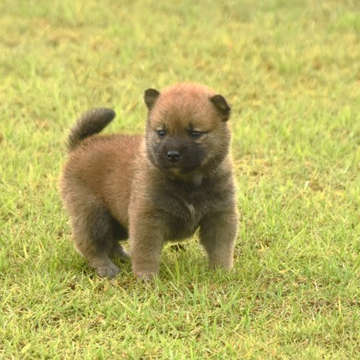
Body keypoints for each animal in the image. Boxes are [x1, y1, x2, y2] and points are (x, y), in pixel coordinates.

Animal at [60, 82, 238, 278]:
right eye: (161, 132)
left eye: (195, 133)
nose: (172, 154)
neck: (189, 183)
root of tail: (81, 145)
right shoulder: (148, 218)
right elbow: (146, 251)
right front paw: (147, 277)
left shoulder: (219, 216)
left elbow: (221, 248)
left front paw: (222, 272)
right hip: (93, 216)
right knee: (91, 244)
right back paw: (105, 267)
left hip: (117, 221)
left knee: (111, 242)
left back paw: (123, 257)